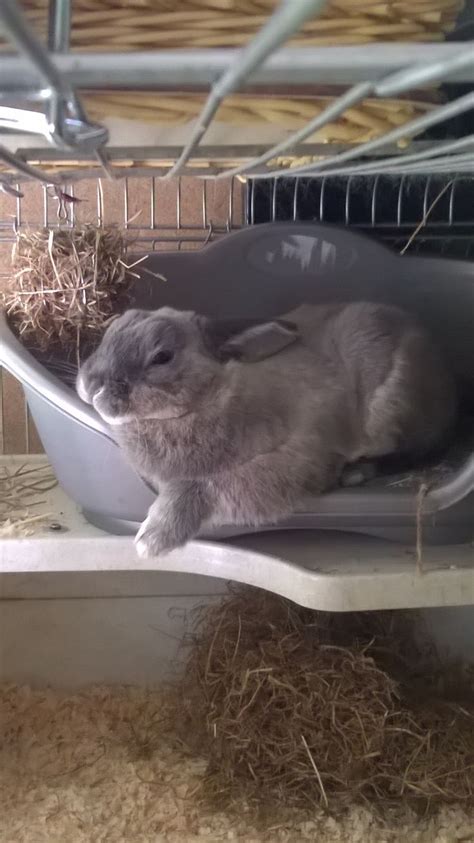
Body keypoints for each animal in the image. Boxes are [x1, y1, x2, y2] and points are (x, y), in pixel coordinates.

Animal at [76, 302, 457, 558]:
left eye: (162, 357)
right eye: (111, 330)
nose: (91, 385)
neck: (211, 394)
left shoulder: (285, 461)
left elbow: (202, 486)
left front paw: (151, 540)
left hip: (392, 406)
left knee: (417, 451)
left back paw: (357, 472)